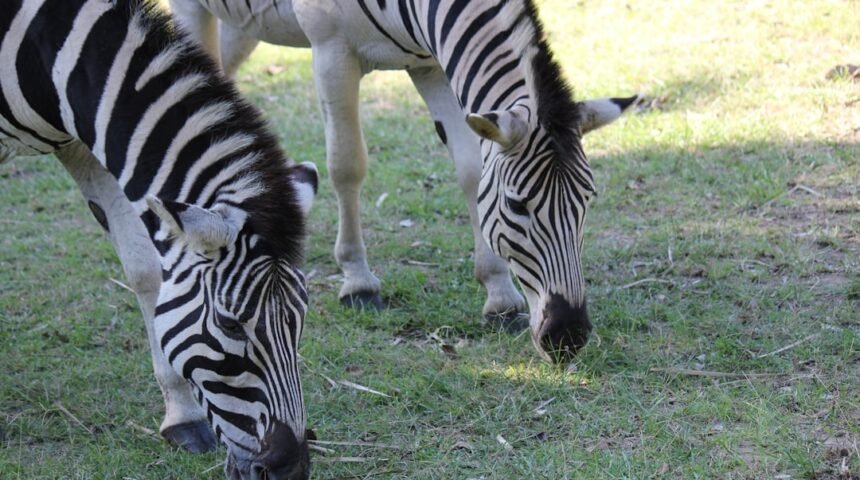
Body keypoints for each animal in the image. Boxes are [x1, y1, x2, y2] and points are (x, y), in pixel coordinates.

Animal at [2, 1, 318, 478]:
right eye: (229, 324)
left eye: (300, 319)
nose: (289, 468)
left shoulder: (88, 136)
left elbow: (145, 269)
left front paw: (182, 417)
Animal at [170, 0, 637, 362]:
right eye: (517, 205)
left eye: (588, 200)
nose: (569, 337)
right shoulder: (331, 48)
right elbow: (347, 165)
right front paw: (357, 280)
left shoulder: (434, 64)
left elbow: (471, 172)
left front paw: (498, 293)